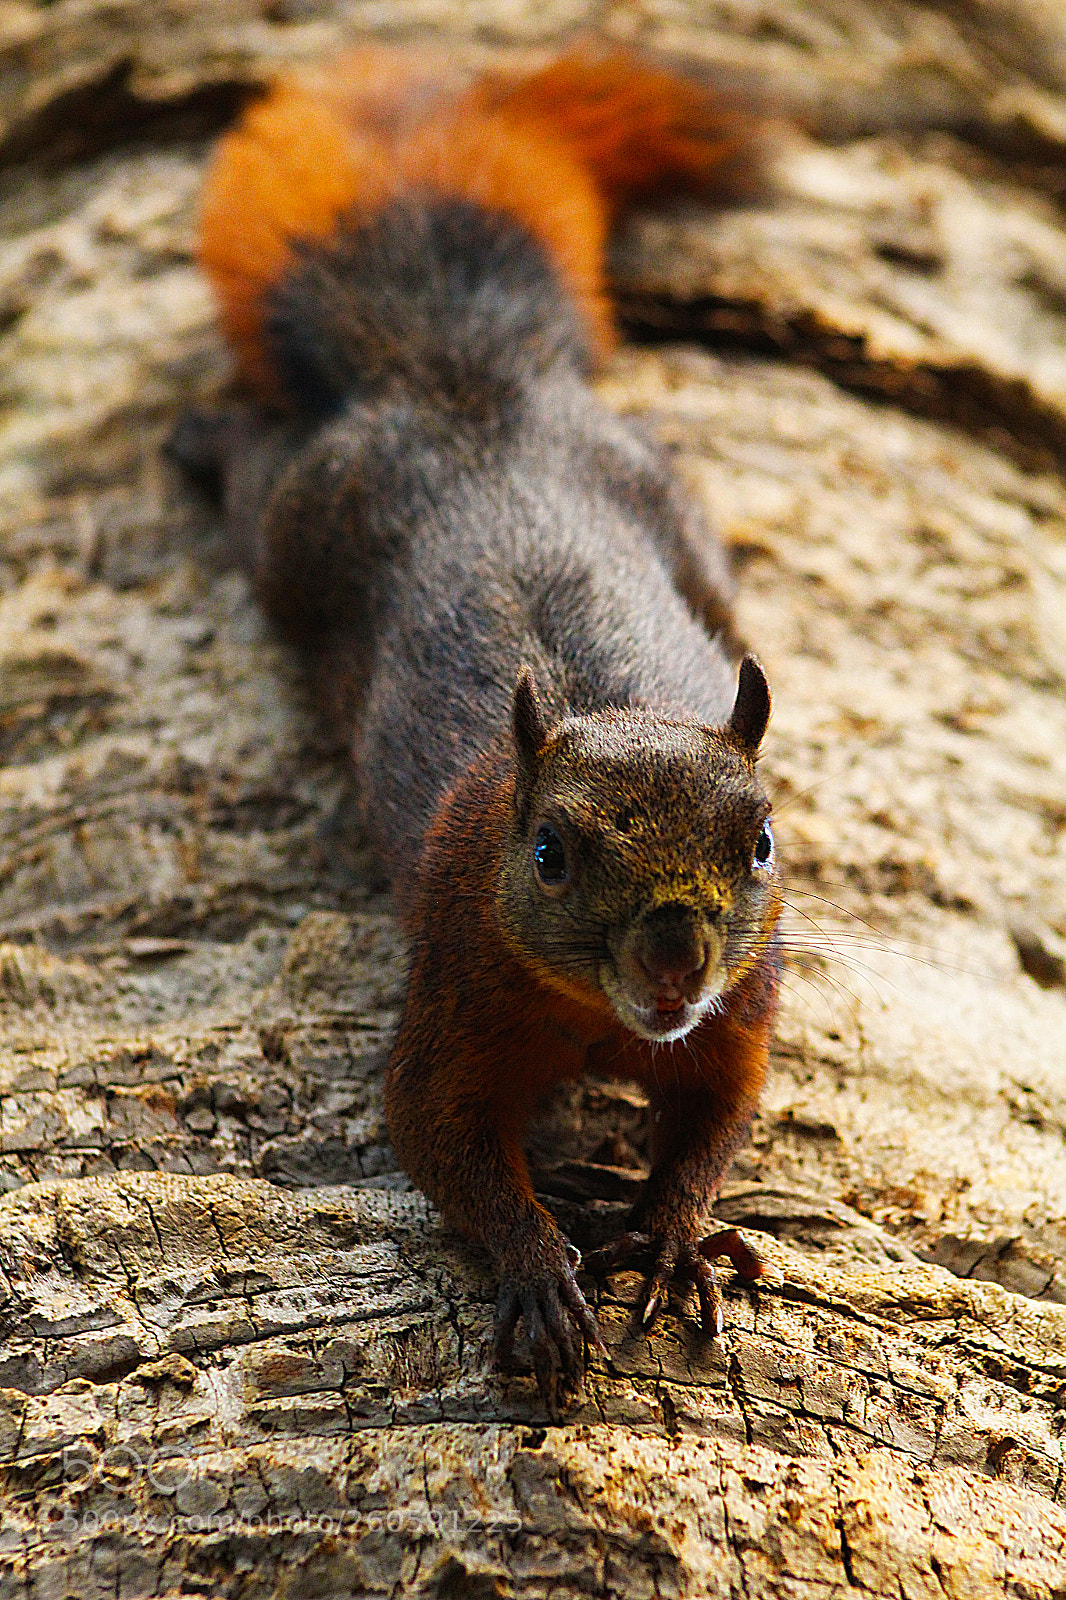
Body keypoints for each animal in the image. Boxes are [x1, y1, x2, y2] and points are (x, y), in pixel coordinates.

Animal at [175, 44, 783, 1408]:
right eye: (547, 852)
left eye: (762, 844)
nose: (675, 961)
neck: (600, 1021)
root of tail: (464, 381)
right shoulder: (454, 984)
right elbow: (434, 1134)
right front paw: (539, 1266)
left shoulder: (744, 1004)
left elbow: (719, 1119)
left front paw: (673, 1231)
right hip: (300, 527)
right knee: (255, 477)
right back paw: (205, 436)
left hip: (664, 484)